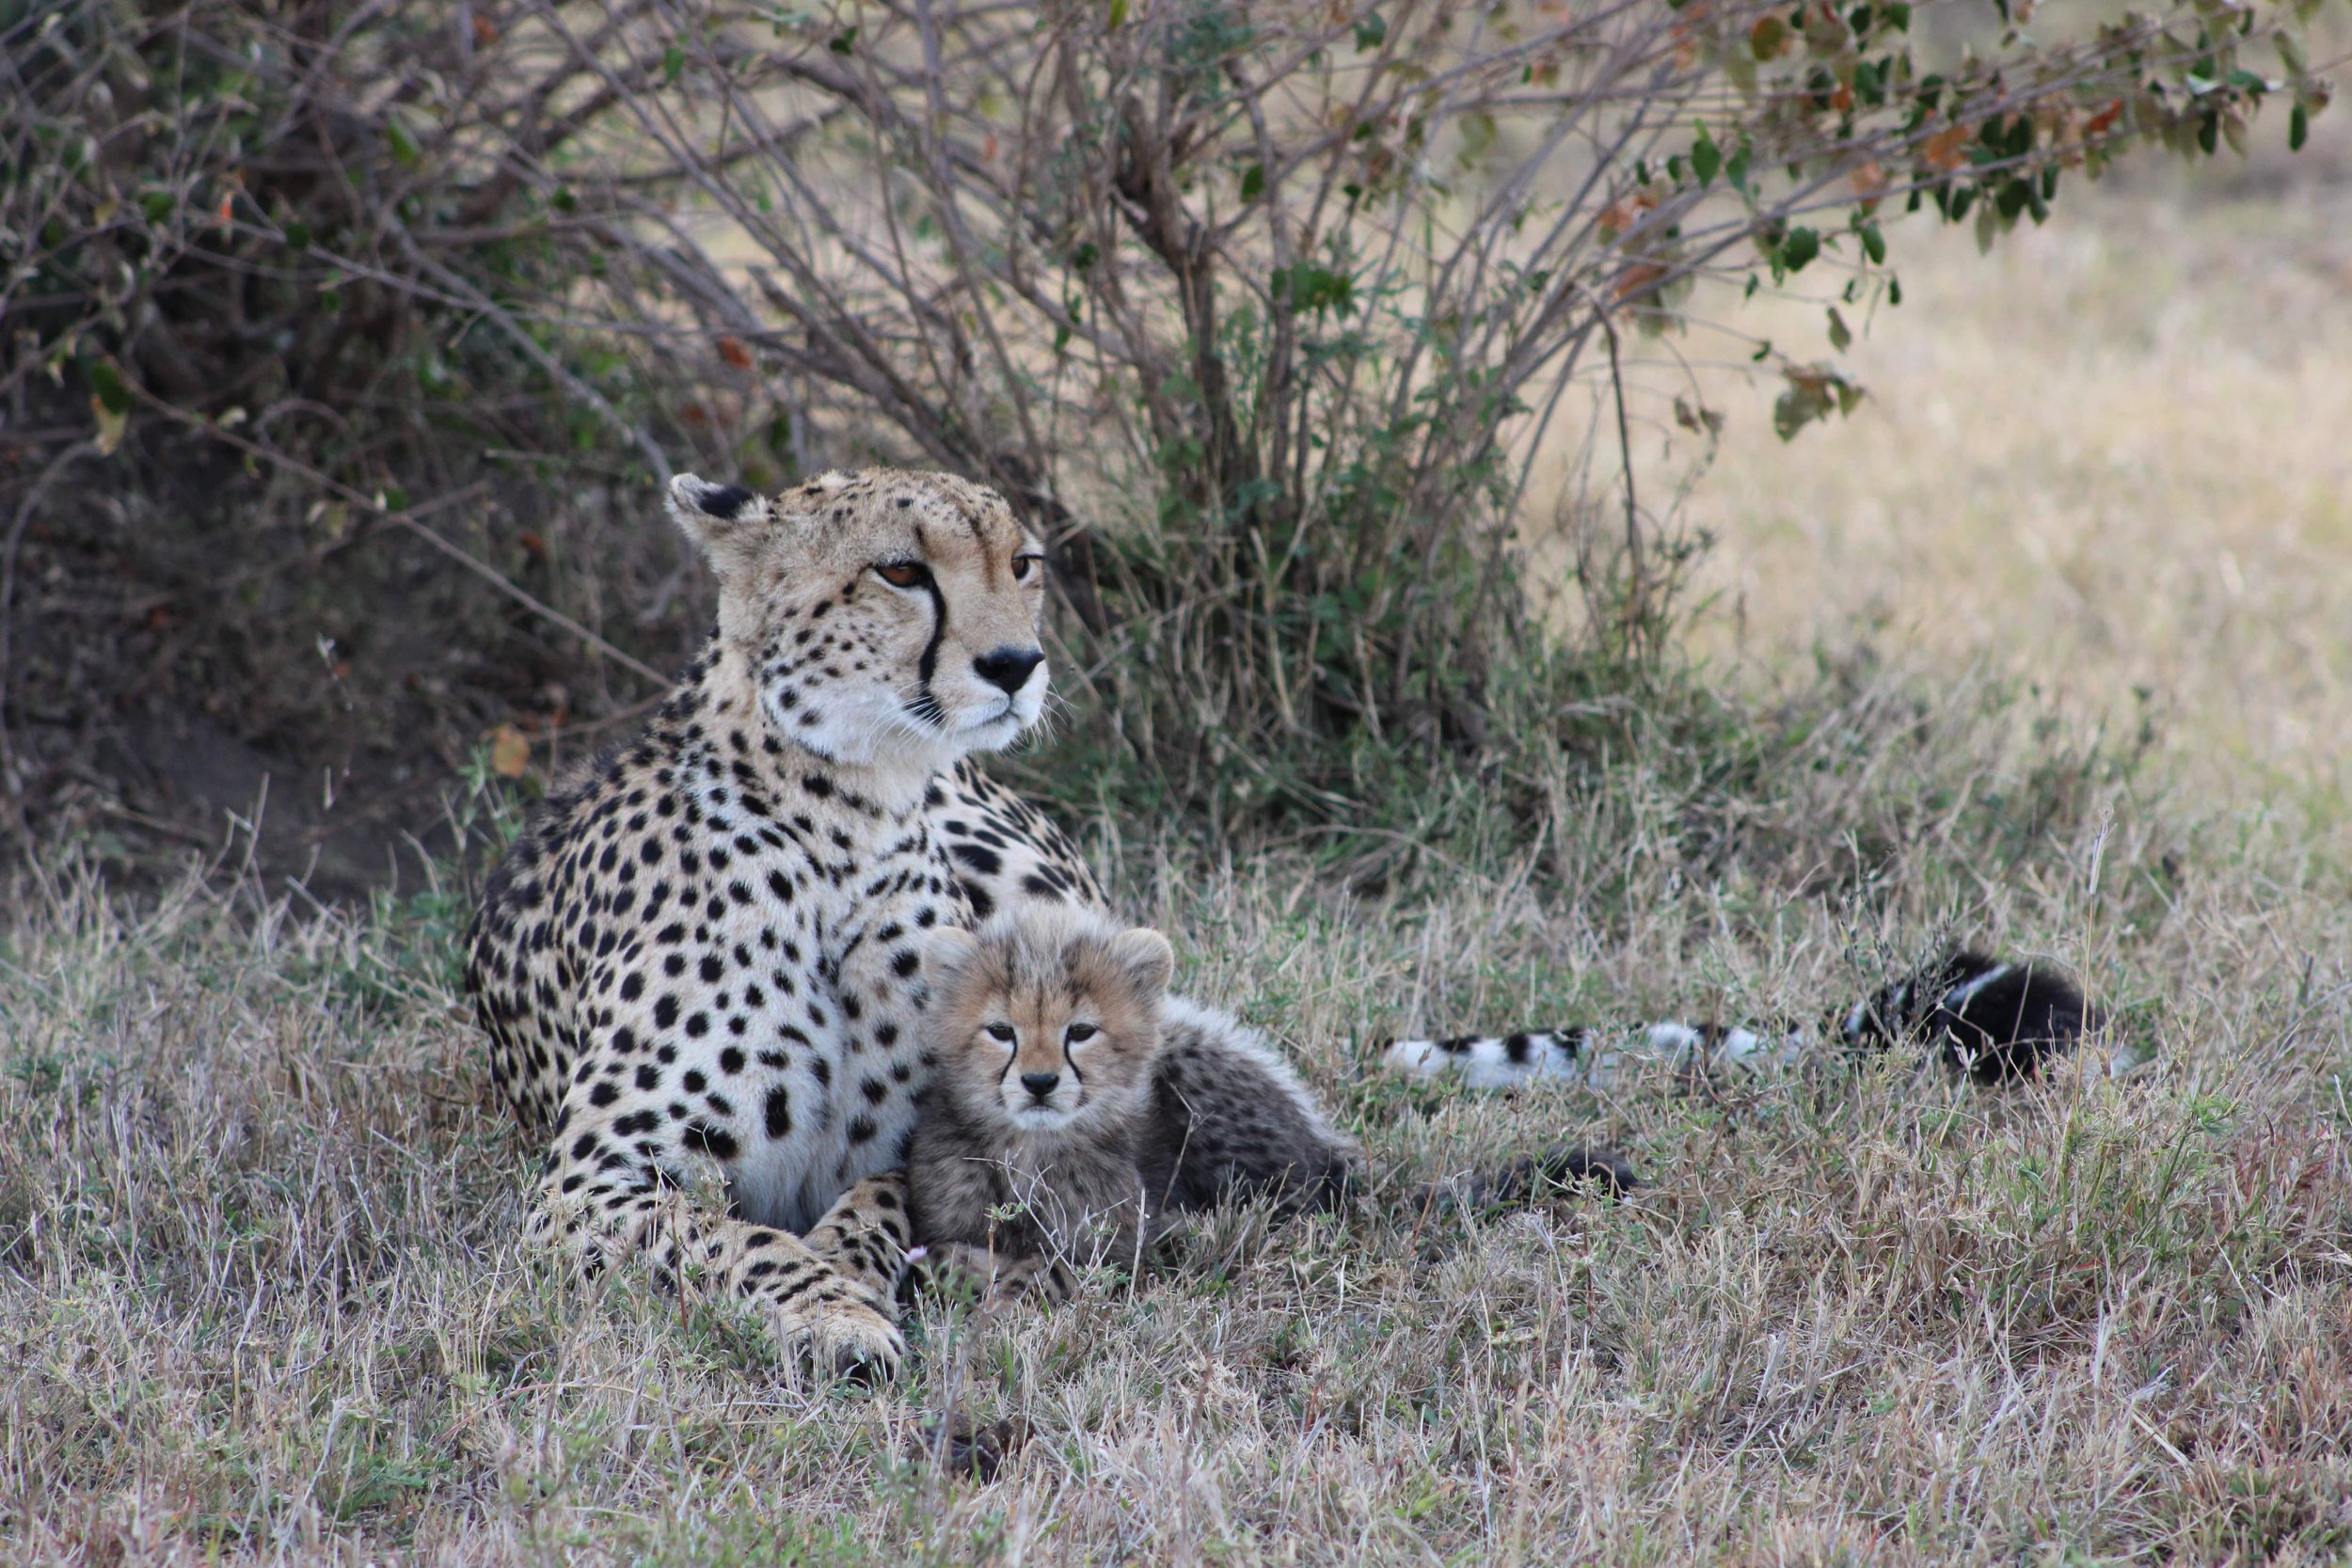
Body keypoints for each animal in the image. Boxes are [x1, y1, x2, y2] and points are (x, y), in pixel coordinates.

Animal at [907, 906, 1356, 1306]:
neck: (1031, 1147)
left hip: (1191, 1060)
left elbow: (1051, 1272)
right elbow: (940, 1257)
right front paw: (978, 1273)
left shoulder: (1111, 1251)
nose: (1039, 1082)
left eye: (1081, 1032)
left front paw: (1001, 1301)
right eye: (1001, 1031)